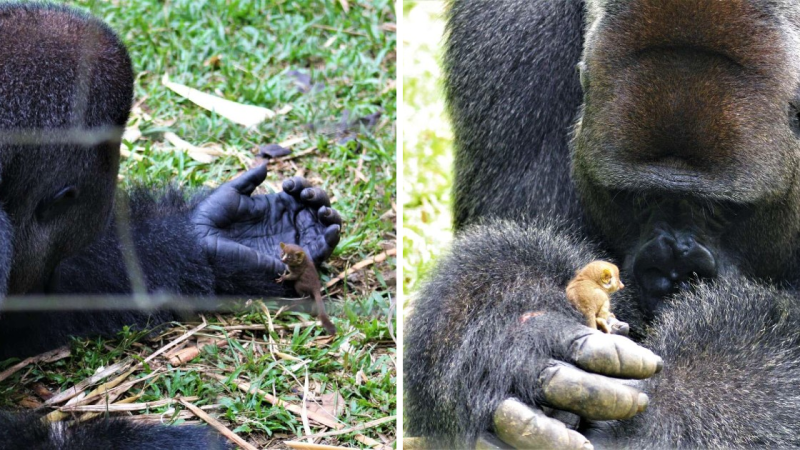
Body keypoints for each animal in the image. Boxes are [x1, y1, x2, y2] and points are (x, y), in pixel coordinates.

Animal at [406, 0, 800, 448]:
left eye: (719, 210)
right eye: (639, 199)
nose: (671, 272)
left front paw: (675, 408)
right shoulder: (505, 24)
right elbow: (514, 229)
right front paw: (516, 324)